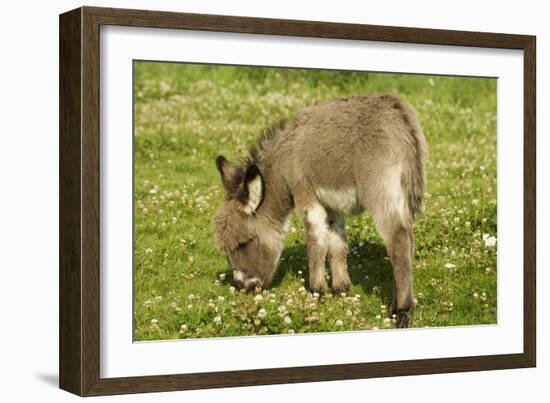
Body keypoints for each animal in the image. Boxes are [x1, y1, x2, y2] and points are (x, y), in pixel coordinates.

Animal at [213, 94, 430, 328]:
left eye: (244, 243)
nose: (242, 287)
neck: (285, 157)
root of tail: (399, 115)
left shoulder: (305, 193)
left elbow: (315, 240)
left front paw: (316, 292)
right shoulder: (333, 206)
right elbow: (337, 241)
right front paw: (341, 288)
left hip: (380, 188)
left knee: (398, 239)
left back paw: (402, 311)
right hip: (401, 194)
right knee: (407, 240)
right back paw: (397, 304)